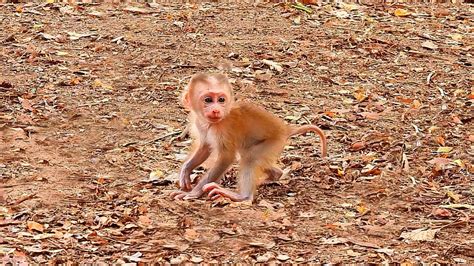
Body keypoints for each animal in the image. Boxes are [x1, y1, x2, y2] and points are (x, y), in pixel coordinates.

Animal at [170, 72, 326, 202]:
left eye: (221, 99)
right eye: (208, 100)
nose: (216, 110)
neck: (211, 123)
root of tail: (285, 128)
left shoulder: (223, 128)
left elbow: (226, 158)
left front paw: (193, 193)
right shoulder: (200, 123)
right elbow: (205, 148)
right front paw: (185, 171)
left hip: (274, 142)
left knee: (250, 158)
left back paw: (242, 196)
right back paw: (275, 175)